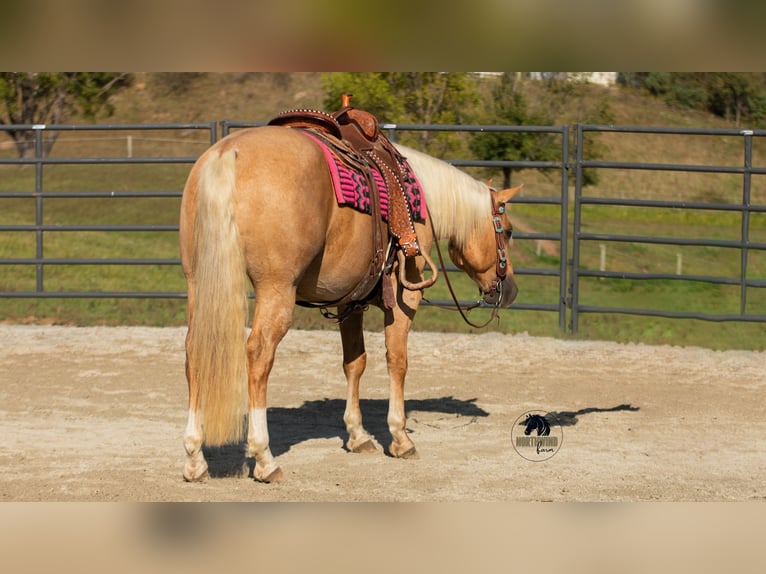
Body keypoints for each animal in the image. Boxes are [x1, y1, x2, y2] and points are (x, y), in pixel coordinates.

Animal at [179, 124, 521, 482]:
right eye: (509, 231)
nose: (510, 289)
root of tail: (227, 154)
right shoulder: (405, 296)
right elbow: (397, 361)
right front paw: (400, 437)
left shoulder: (349, 301)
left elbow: (354, 363)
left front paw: (357, 435)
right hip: (276, 289)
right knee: (259, 354)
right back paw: (264, 458)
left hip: (198, 283)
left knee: (194, 353)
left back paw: (195, 458)